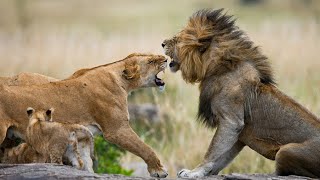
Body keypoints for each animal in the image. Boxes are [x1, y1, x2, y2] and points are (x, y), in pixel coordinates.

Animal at [0, 53, 169, 177]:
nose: (166, 59)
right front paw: (159, 170)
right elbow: (144, 147)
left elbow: (86, 163)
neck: (121, 81)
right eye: (151, 61)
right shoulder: (116, 130)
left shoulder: (82, 138)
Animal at [162, 9, 320, 178]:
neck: (216, 69)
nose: (162, 43)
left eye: (178, 39)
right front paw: (207, 172)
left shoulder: (231, 121)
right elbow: (222, 157)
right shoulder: (238, 134)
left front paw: (195, 172)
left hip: (285, 151)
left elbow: (212, 151)